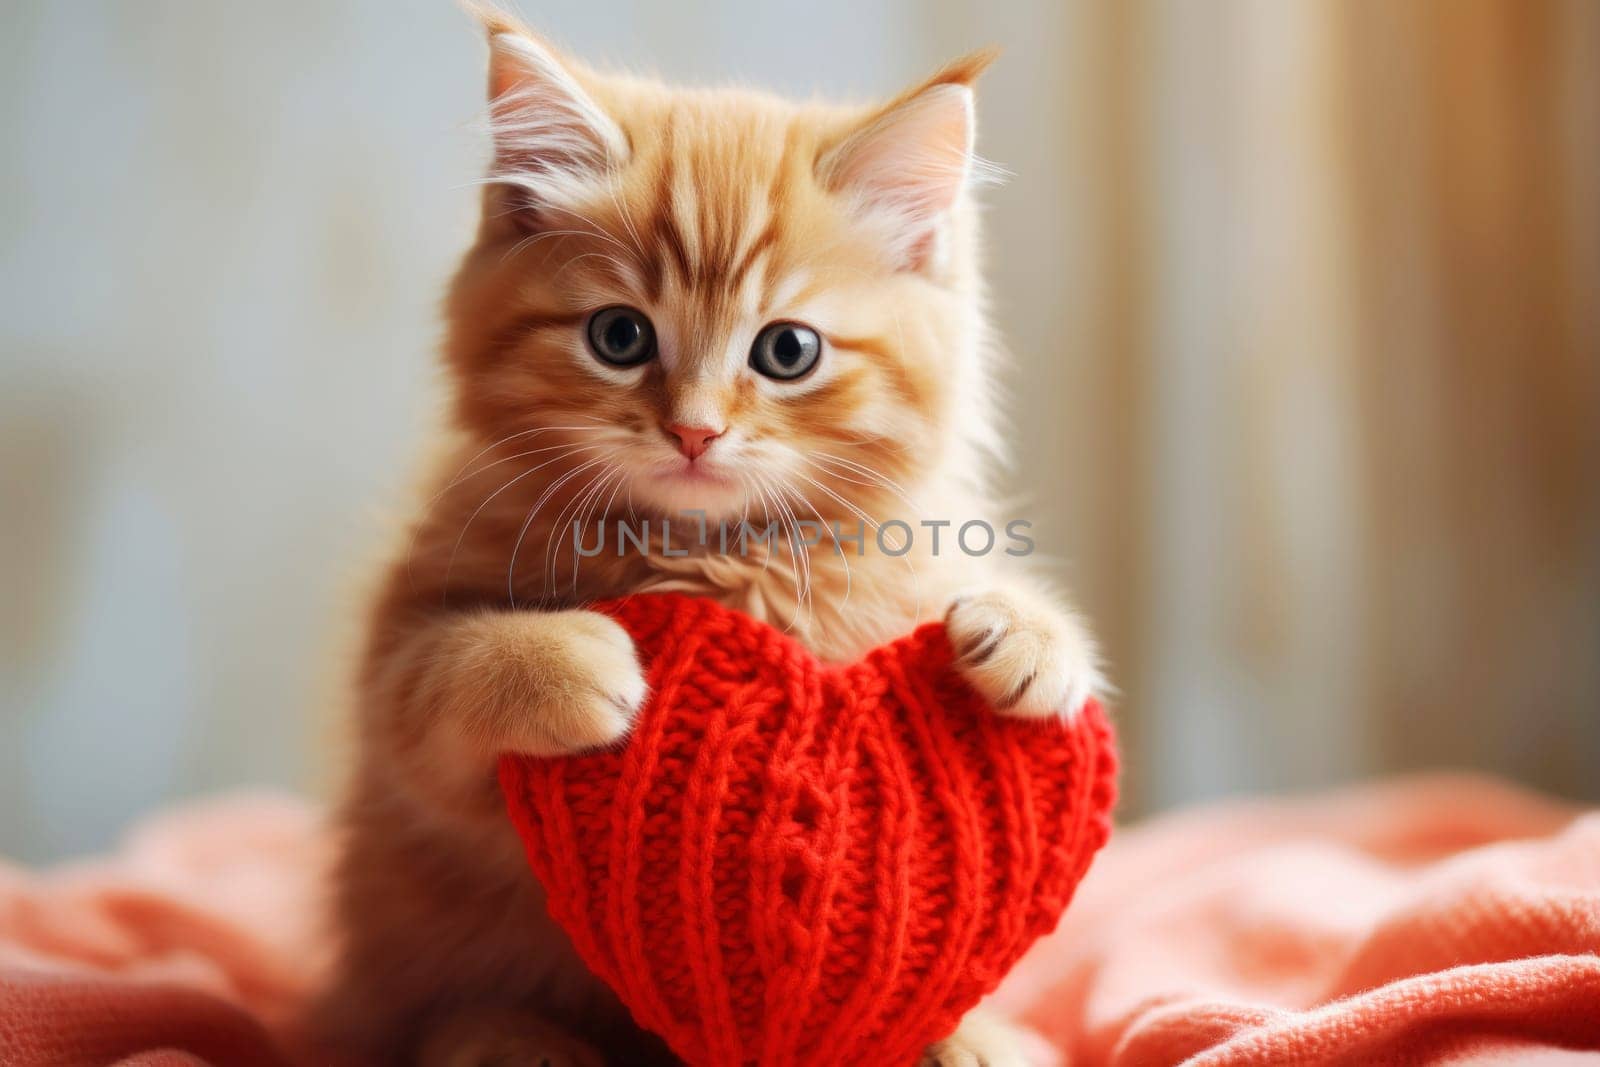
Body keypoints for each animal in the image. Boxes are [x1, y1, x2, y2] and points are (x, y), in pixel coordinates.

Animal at [318, 10, 1107, 1067]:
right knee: (433, 1012)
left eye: (787, 351)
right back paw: (509, 1037)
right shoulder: (406, 692)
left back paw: (976, 1036)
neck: (715, 553)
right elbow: (433, 680)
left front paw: (1029, 637)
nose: (693, 430)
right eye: (618, 337)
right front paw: (570, 661)